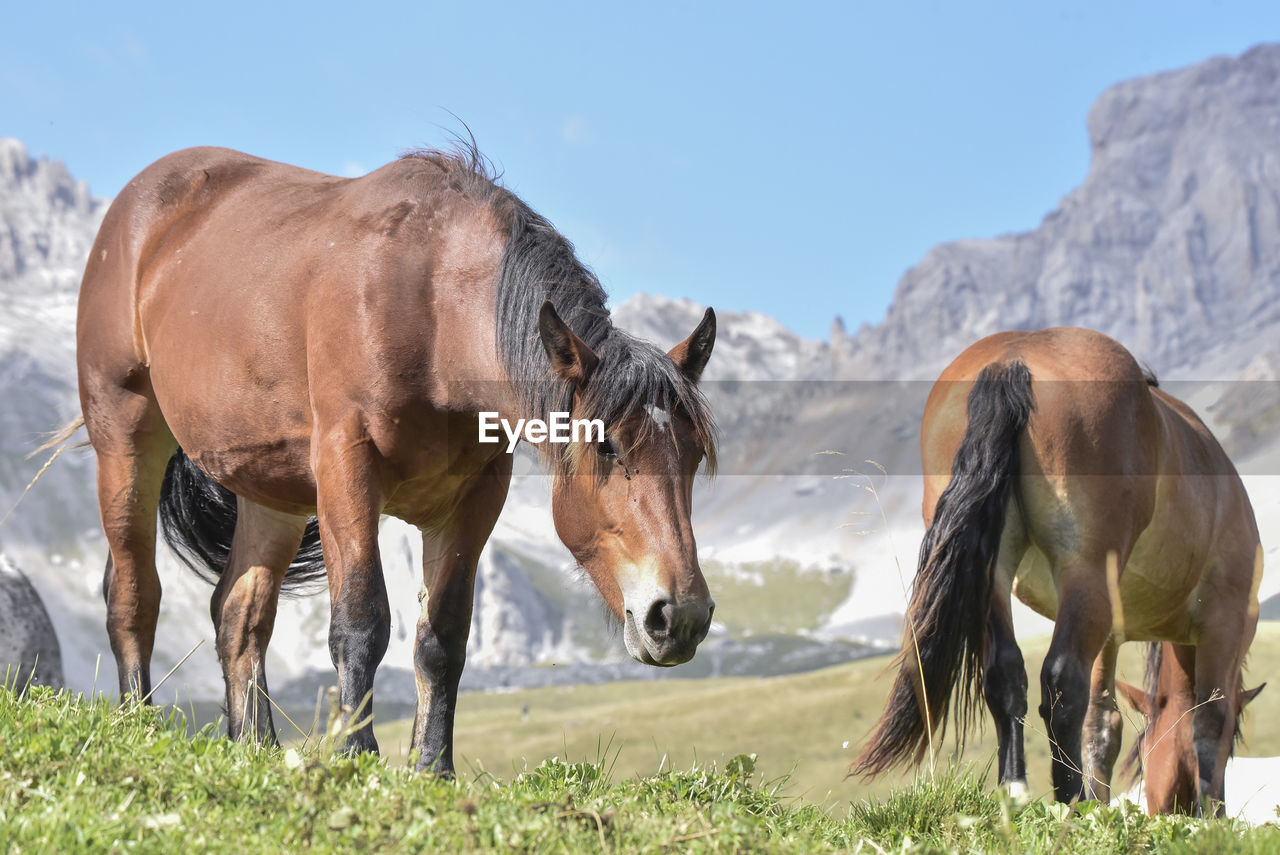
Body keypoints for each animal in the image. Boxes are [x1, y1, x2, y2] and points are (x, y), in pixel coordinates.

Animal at [77, 142, 721, 773]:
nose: (679, 616)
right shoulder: (347, 465)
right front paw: (357, 753)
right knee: (133, 592)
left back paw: (255, 747)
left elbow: (442, 637)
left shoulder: (476, 498)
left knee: (238, 615)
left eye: (693, 457)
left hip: (272, 491)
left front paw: (432, 766)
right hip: (125, 437)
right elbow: (362, 620)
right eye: (606, 444)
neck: (429, 306)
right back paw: (138, 722)